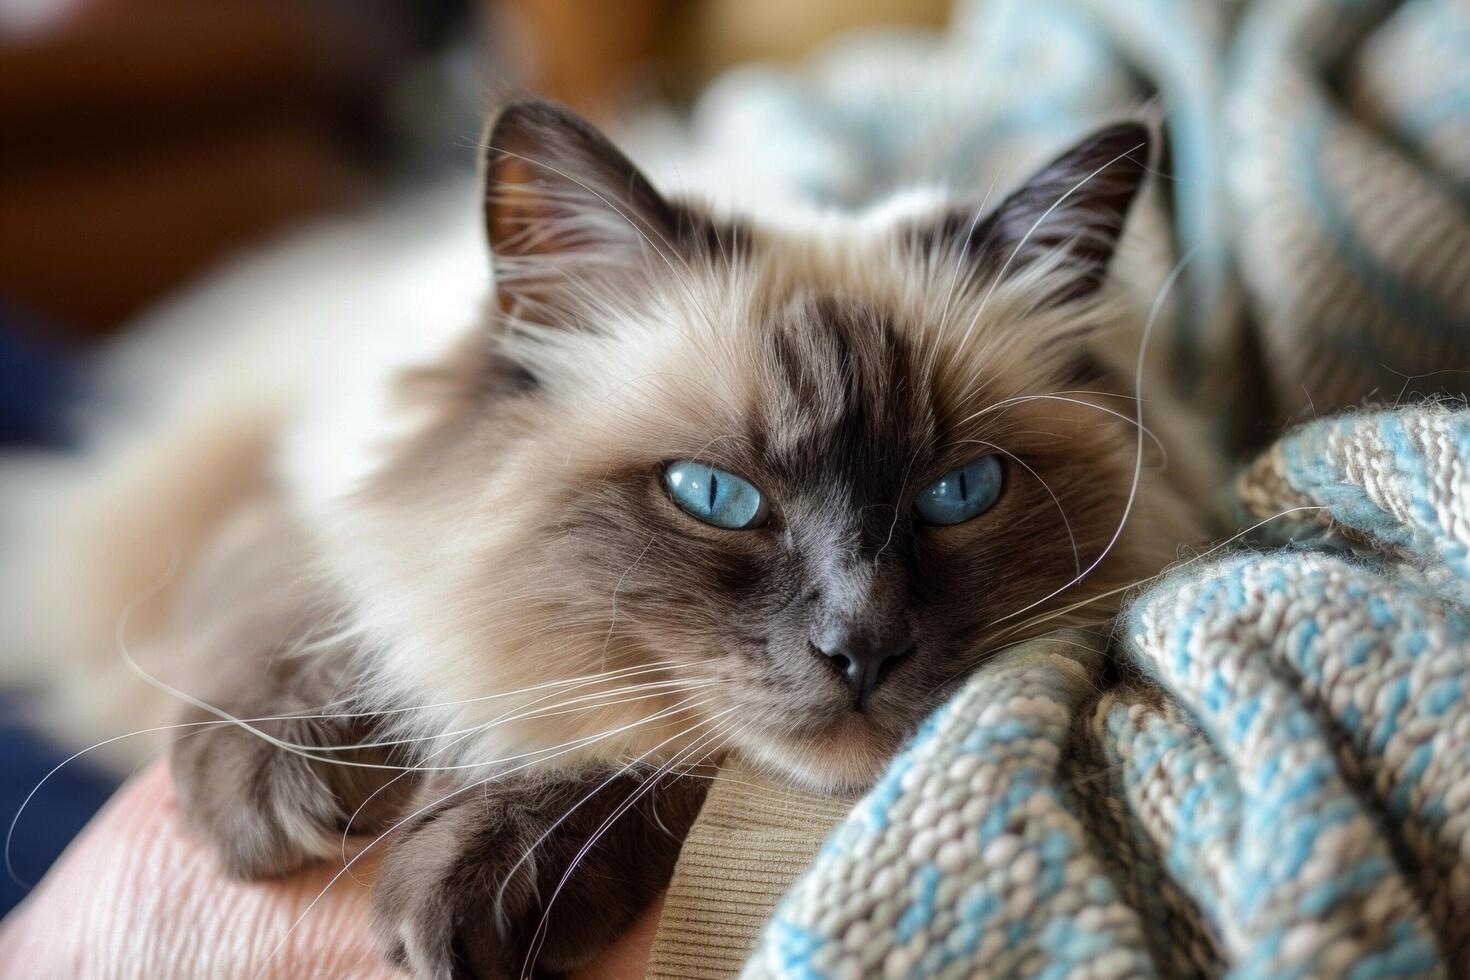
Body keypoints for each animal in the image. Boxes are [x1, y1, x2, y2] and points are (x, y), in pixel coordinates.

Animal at [2, 95, 1217, 975]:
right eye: (716, 496)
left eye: (960, 491)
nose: (862, 648)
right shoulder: (286, 470)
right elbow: (310, 575)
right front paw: (266, 788)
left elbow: (648, 749)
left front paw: (483, 873)